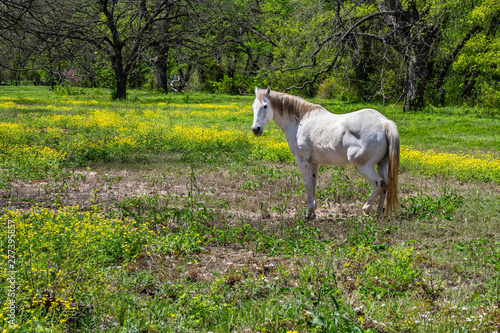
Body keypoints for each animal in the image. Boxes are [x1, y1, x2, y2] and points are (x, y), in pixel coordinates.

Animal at [252, 86, 400, 218]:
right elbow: (313, 183)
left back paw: (366, 209)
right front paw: (313, 211)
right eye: (253, 107)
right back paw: (378, 213)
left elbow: (307, 184)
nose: (255, 129)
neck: (300, 121)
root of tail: (383, 123)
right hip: (382, 164)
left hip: (364, 166)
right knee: (385, 185)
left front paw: (309, 213)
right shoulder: (313, 162)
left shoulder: (302, 160)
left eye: (265, 106)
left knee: (379, 184)